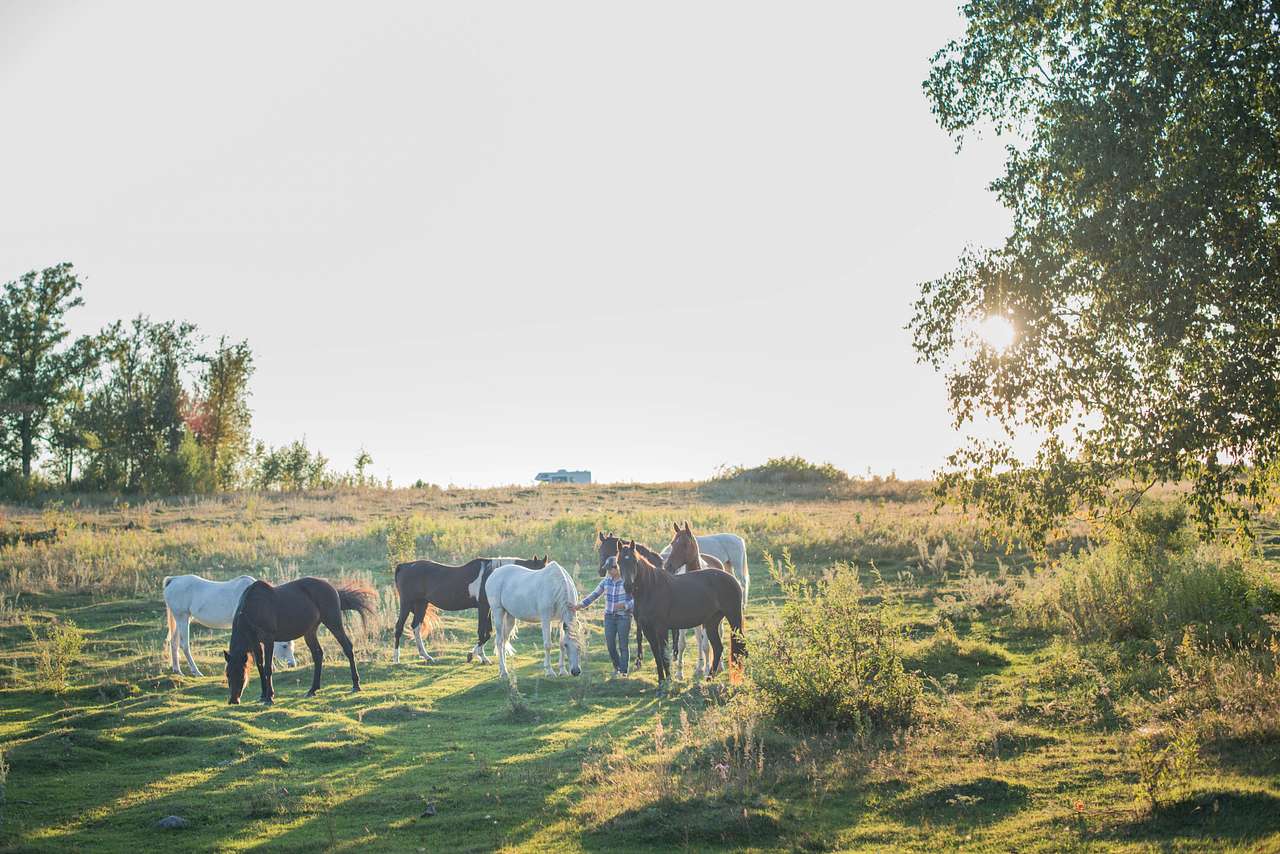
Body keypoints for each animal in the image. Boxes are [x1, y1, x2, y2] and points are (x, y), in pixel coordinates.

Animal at [163, 574, 296, 676]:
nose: (292, 664)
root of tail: (173, 580)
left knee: (174, 642)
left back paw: (177, 670)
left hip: (181, 619)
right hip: (182, 618)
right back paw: (196, 672)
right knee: (184, 645)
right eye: (284, 646)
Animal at [224, 577, 376, 705]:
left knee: (347, 647)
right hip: (310, 632)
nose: (233, 700)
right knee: (318, 654)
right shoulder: (255, 642)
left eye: (241, 675)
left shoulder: (268, 640)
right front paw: (262, 695)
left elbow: (268, 668)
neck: (253, 608)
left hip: (333, 623)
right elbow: (260, 666)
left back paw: (356, 685)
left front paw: (269, 697)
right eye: (228, 674)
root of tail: (332, 588)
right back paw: (313, 689)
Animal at [392, 555, 548, 664]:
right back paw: (396, 659)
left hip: (421, 604)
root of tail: (404, 566)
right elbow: (483, 633)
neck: (492, 575)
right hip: (406, 603)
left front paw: (480, 657)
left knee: (416, 627)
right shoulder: (483, 607)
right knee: (399, 628)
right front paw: (475, 656)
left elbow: (487, 632)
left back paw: (426, 656)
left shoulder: (487, 608)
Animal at [617, 539, 745, 687]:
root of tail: (732, 579)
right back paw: (709, 678)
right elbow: (657, 654)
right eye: (619, 561)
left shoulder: (661, 628)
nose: (628, 586)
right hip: (711, 622)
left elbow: (664, 654)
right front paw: (661, 681)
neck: (650, 588)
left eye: (634, 561)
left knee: (739, 646)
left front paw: (668, 681)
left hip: (733, 617)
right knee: (718, 648)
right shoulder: (647, 629)